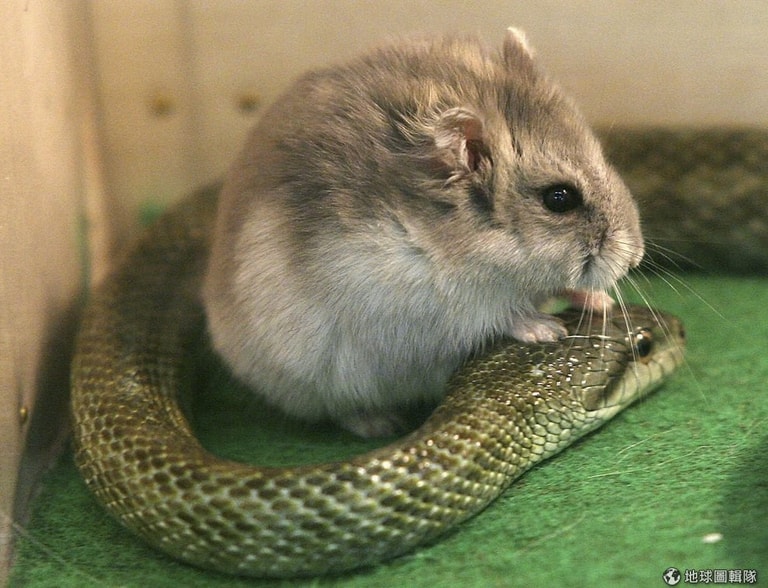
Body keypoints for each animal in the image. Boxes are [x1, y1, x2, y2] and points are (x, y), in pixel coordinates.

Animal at [203, 28, 644, 438]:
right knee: (342, 410)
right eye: (559, 198)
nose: (634, 257)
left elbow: (559, 287)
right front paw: (547, 330)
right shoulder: (432, 303)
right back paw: (383, 424)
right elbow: (500, 314)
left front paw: (601, 303)